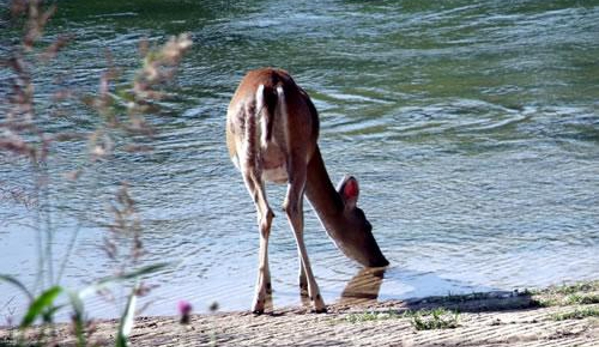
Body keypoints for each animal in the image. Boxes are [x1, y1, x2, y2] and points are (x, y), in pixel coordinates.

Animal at [226, 68, 390, 316]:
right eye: (367, 225)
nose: (381, 259)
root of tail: (271, 87)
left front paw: (275, 283)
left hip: (262, 159)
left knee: (274, 211)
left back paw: (270, 300)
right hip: (290, 156)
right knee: (282, 210)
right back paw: (309, 299)